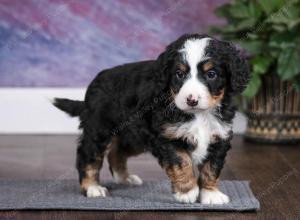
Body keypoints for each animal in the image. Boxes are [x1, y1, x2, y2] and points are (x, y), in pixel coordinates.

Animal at [52, 34, 250, 205]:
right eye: (179, 74)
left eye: (211, 74)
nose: (191, 100)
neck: (199, 114)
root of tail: (94, 83)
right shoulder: (168, 137)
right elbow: (182, 162)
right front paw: (187, 191)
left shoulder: (219, 136)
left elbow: (212, 167)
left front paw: (211, 194)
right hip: (99, 129)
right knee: (88, 156)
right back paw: (93, 188)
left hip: (133, 136)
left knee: (117, 152)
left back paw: (124, 178)